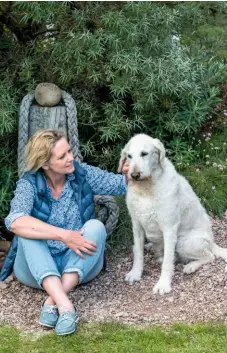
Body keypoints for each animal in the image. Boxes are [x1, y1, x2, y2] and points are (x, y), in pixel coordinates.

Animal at [119, 133, 227, 292]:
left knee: (209, 256)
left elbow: (167, 262)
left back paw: (191, 266)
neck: (146, 189)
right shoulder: (137, 226)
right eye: (129, 156)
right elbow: (137, 253)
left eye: (144, 153)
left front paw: (163, 284)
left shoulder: (169, 228)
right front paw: (135, 273)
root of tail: (212, 242)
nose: (134, 175)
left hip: (183, 242)